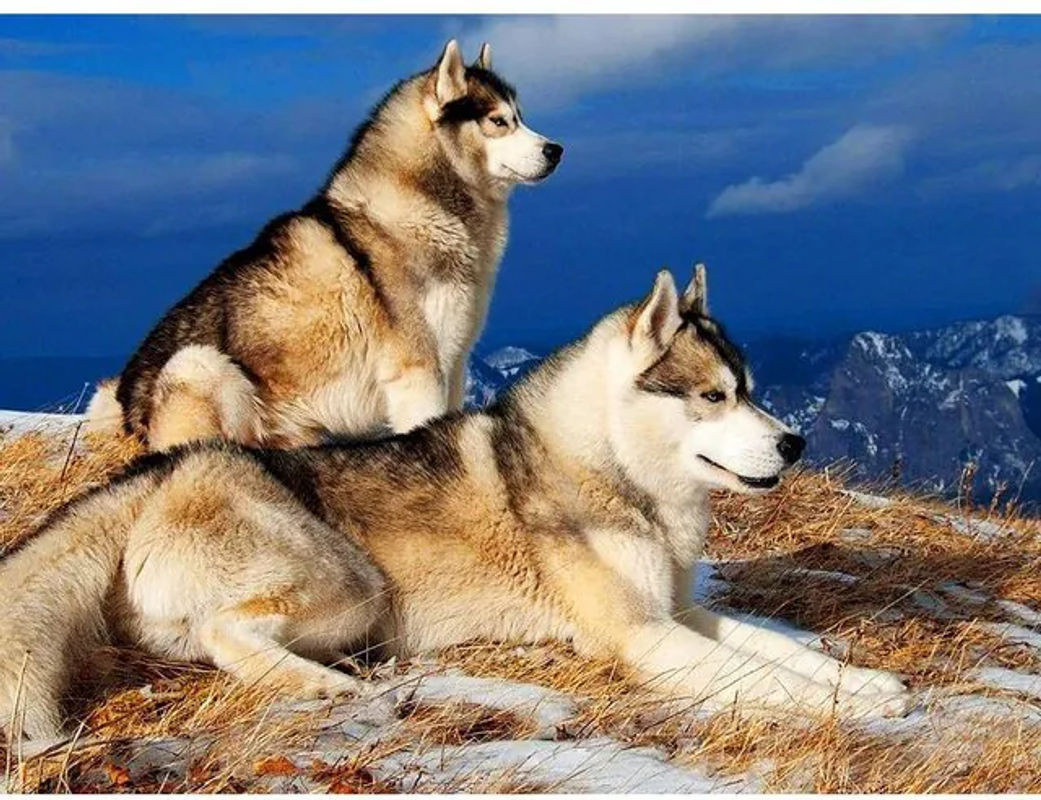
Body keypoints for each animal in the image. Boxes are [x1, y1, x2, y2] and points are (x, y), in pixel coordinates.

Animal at [1, 267, 909, 742]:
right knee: (229, 634)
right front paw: (852, 705)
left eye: (748, 390)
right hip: (353, 585)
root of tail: (165, 471)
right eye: (713, 396)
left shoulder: (680, 613)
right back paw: (321, 687)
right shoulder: (642, 637)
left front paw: (866, 685)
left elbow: (783, 652)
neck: (614, 474)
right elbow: (766, 675)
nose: (793, 444)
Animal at [86, 40, 562, 451]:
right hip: (200, 365)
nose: (556, 149)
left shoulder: (456, 363)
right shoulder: (418, 373)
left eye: (521, 116)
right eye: (499, 121)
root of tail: (123, 400)